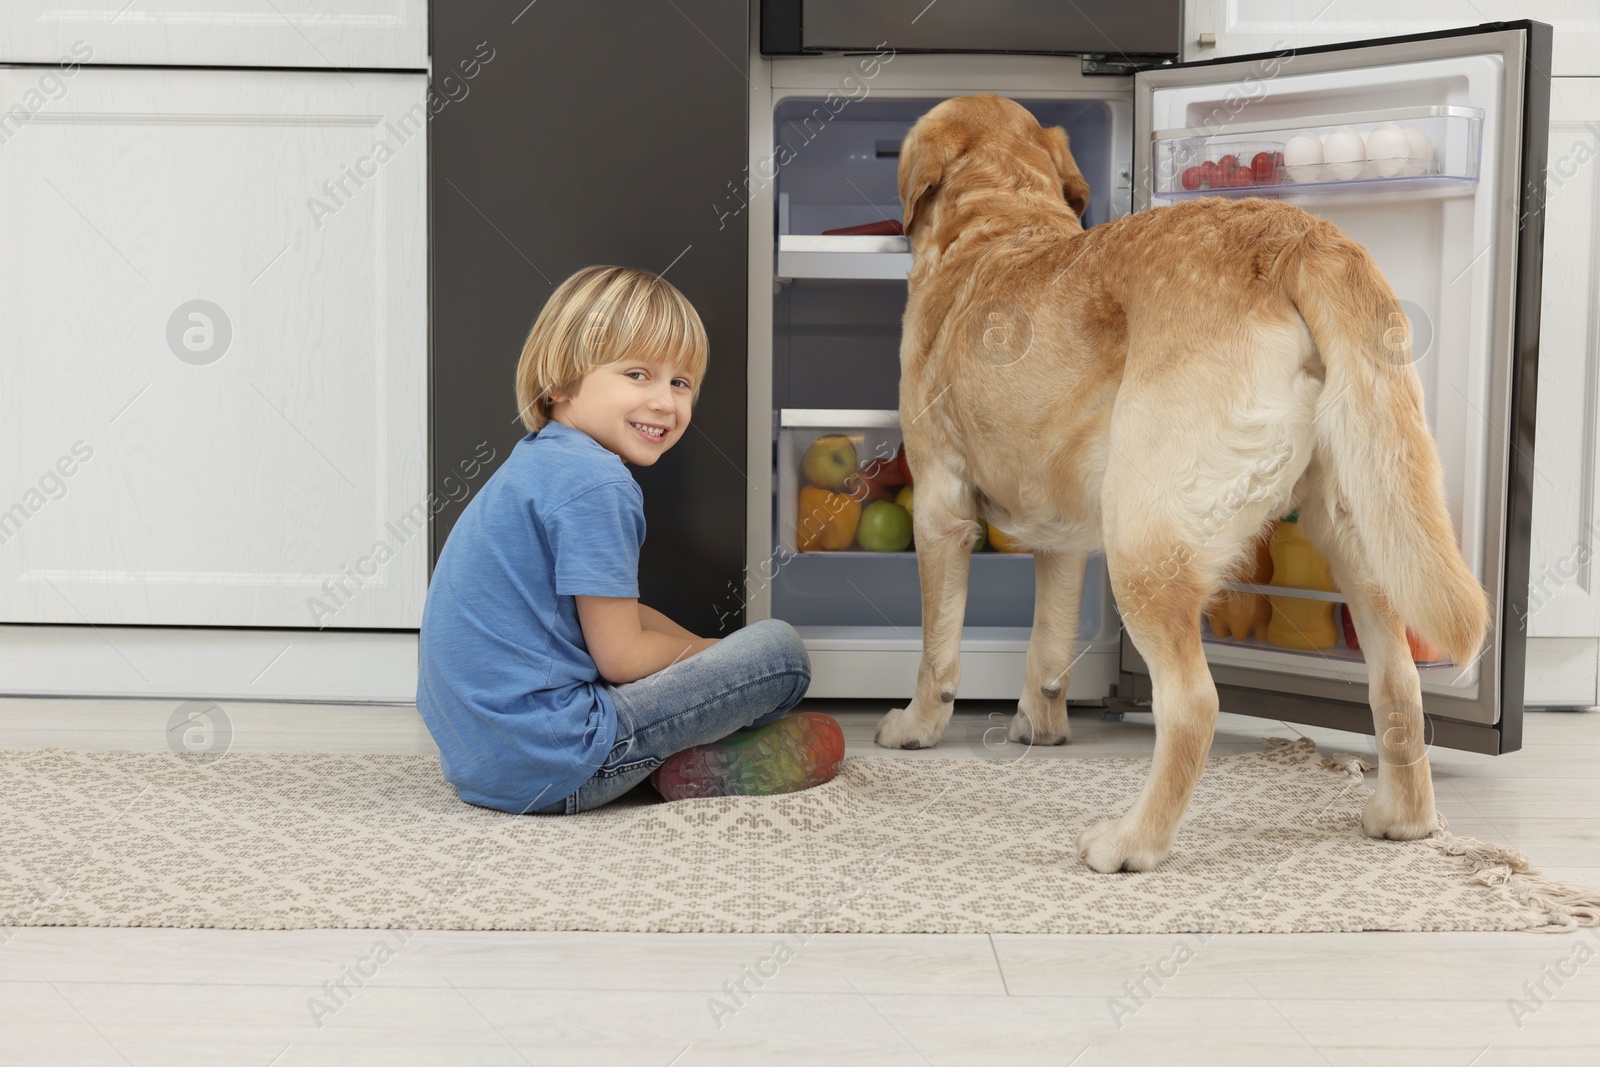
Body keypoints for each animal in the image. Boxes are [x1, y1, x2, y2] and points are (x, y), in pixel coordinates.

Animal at [876, 93, 1484, 876]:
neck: (998, 222)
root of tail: (1297, 232)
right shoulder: (1062, 538)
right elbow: (1047, 643)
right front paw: (1040, 725)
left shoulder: (939, 510)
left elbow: (935, 649)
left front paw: (916, 726)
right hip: (1361, 532)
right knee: (1398, 680)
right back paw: (1402, 818)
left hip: (1141, 534)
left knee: (1193, 703)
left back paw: (1131, 842)